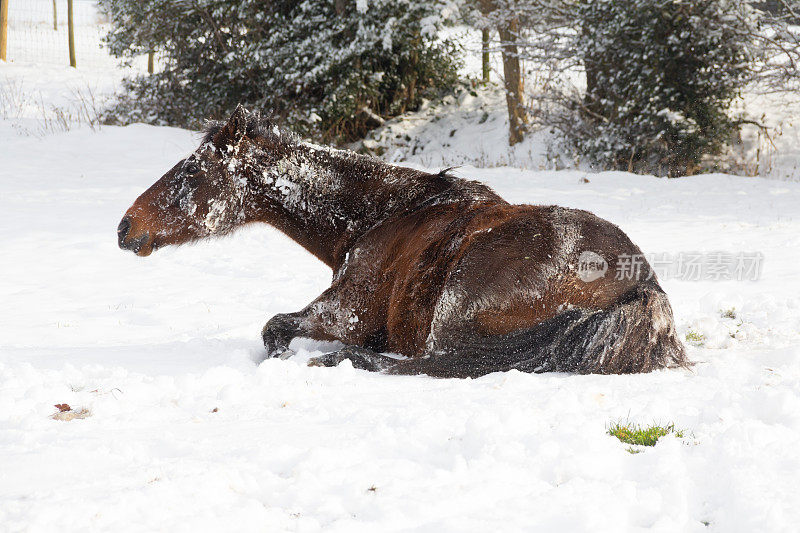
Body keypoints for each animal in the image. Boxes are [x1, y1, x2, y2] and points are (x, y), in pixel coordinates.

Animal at [119, 105, 688, 378]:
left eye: (191, 174)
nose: (125, 227)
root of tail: (641, 284)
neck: (380, 217)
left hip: (454, 308)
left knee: (428, 365)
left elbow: (274, 328)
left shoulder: (343, 313)